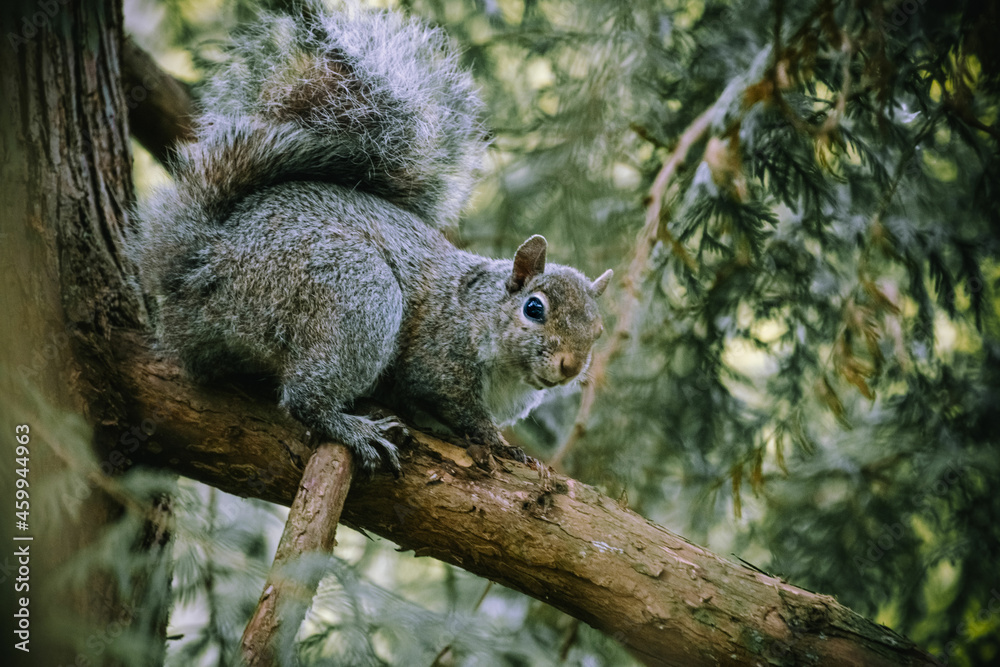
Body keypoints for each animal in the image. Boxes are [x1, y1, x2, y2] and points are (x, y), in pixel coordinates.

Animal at [130, 3, 612, 475]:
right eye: (534, 309)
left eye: (599, 329)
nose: (570, 367)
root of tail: (200, 261)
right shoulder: (438, 357)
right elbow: (454, 403)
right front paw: (497, 442)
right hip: (353, 291)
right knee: (304, 397)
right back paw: (352, 428)